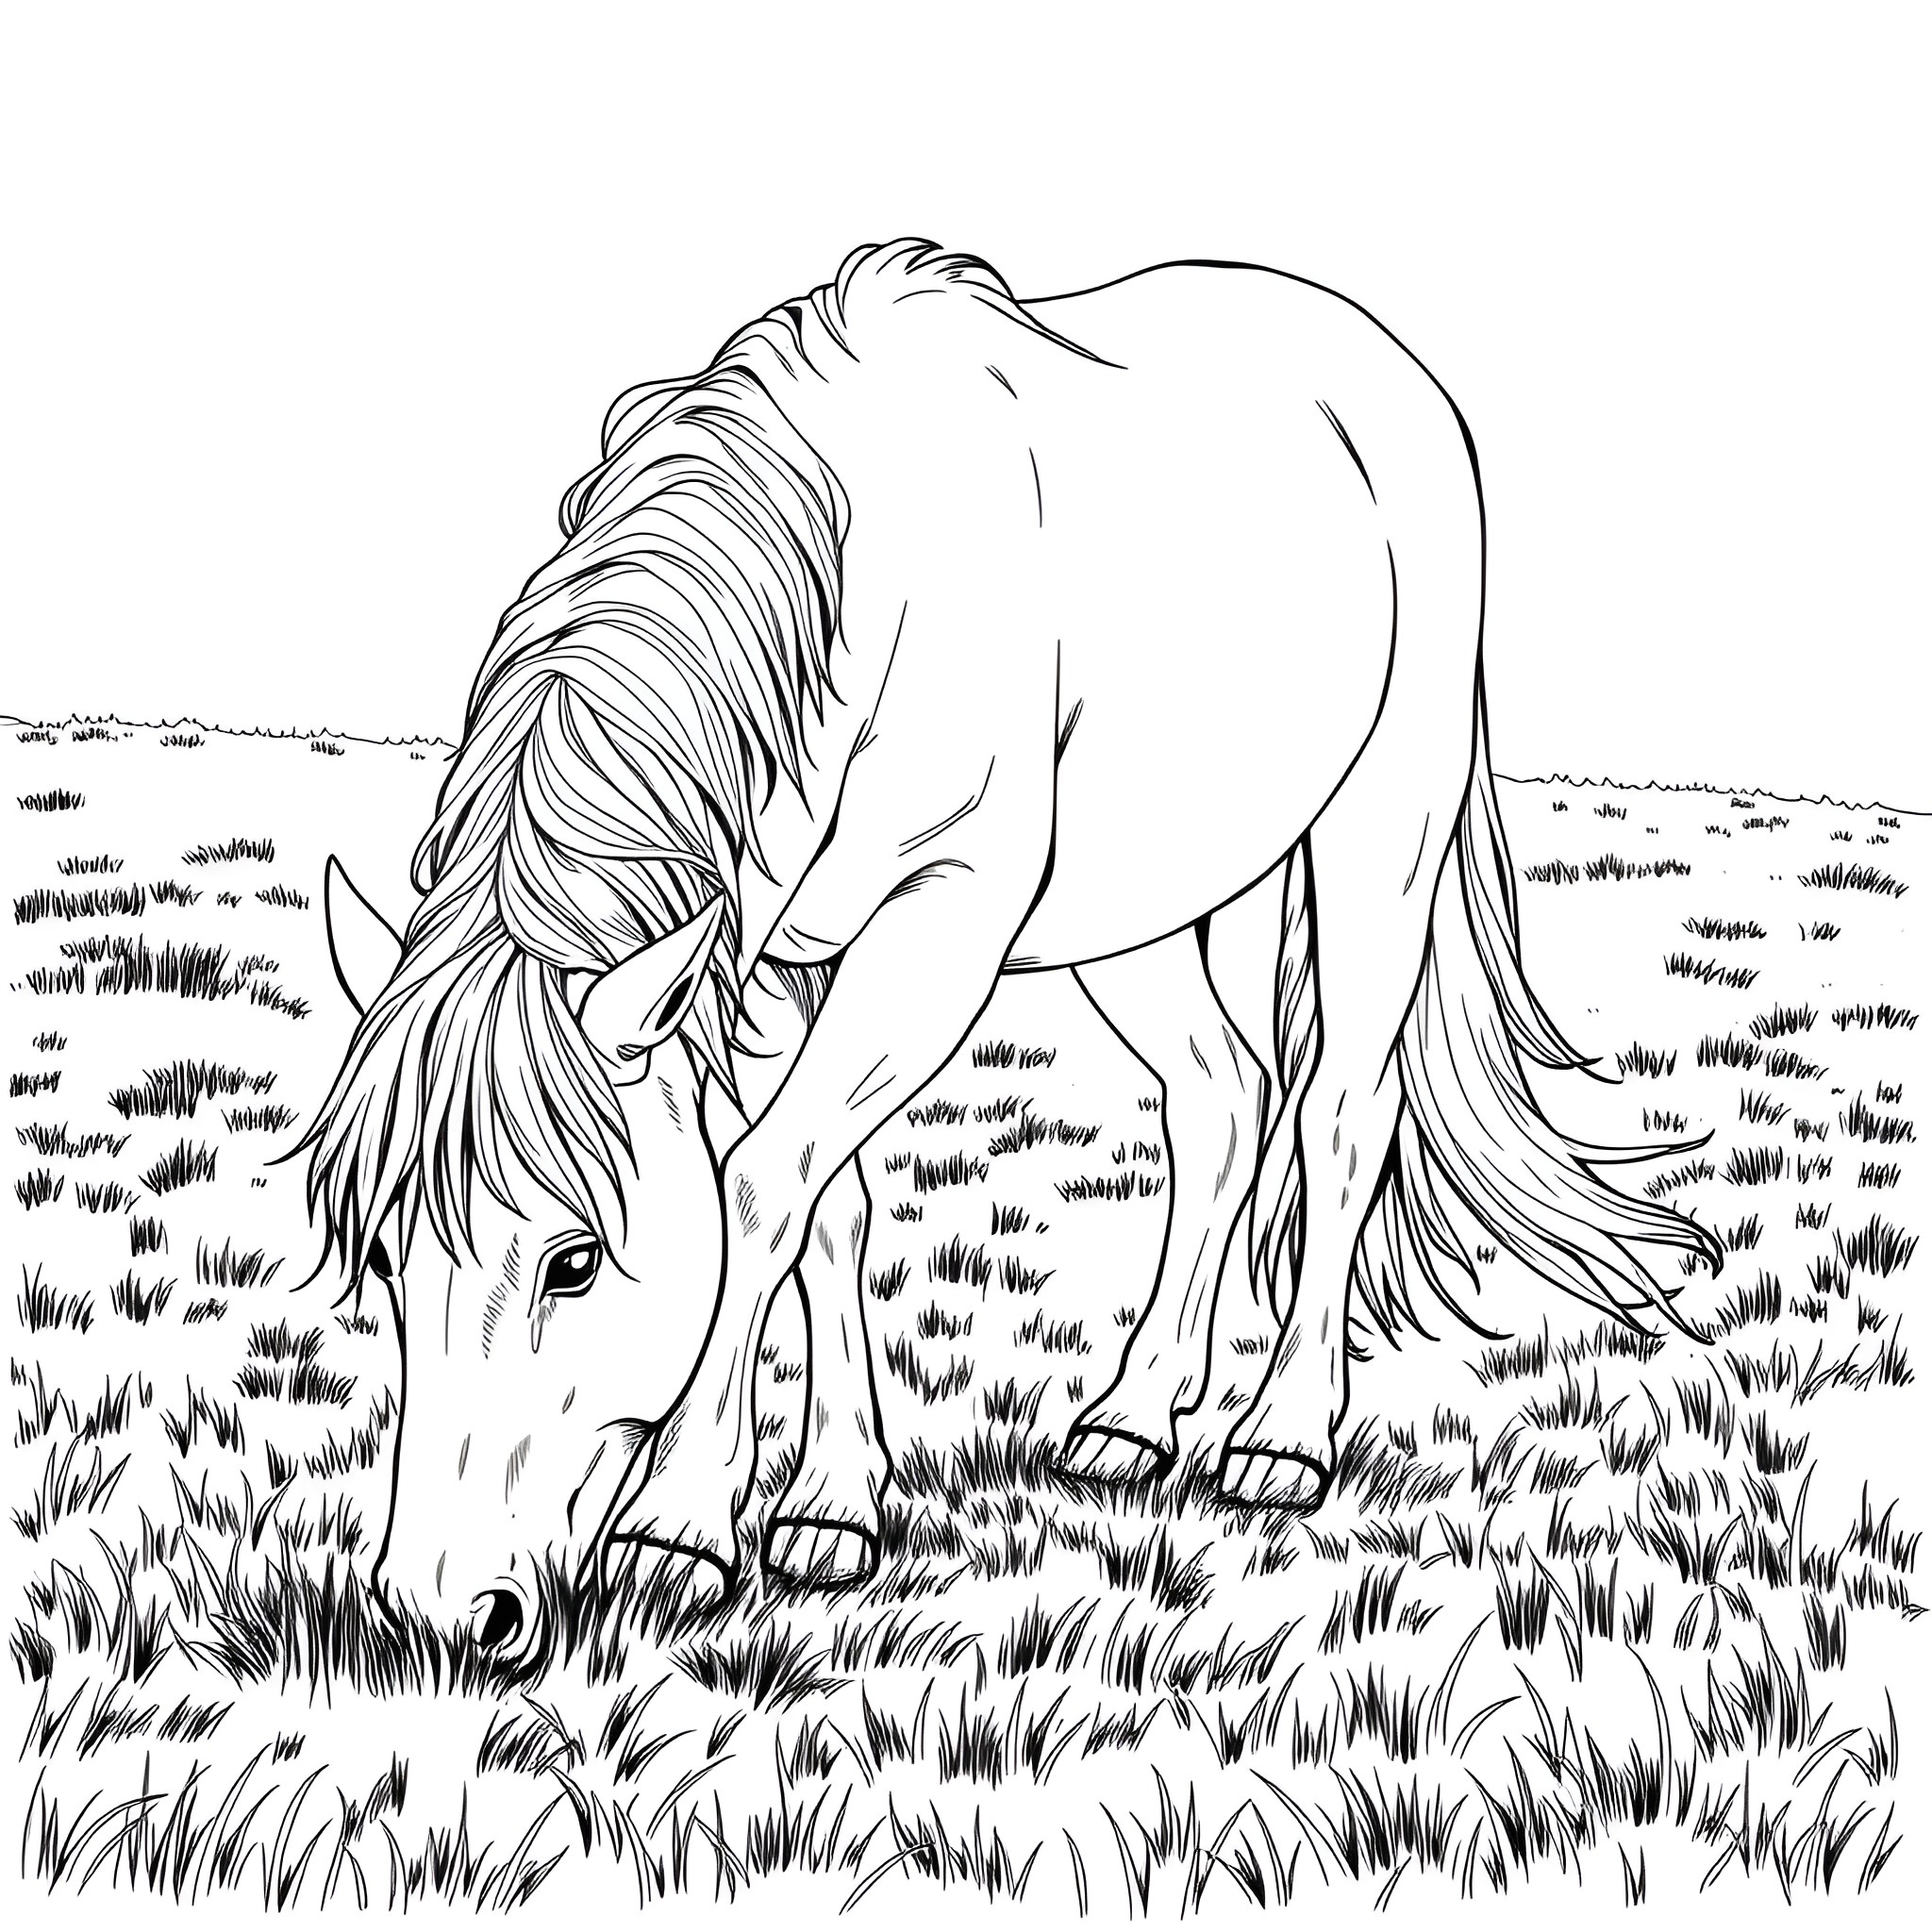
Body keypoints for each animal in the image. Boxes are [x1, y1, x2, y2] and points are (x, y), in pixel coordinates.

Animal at [307, 240, 1719, 1659]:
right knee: (1222, 1095)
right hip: (1138, 898)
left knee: (1336, 1112)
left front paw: (685, 1525)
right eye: (382, 1258)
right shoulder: (775, 956)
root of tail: (1367, 348)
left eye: (575, 1261)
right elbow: (828, 1205)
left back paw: (1279, 1438)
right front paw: (833, 1503)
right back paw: (1133, 1417)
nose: (437, 1613)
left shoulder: (937, 926)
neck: (855, 589)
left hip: (1381, 825)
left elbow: (758, 1189)